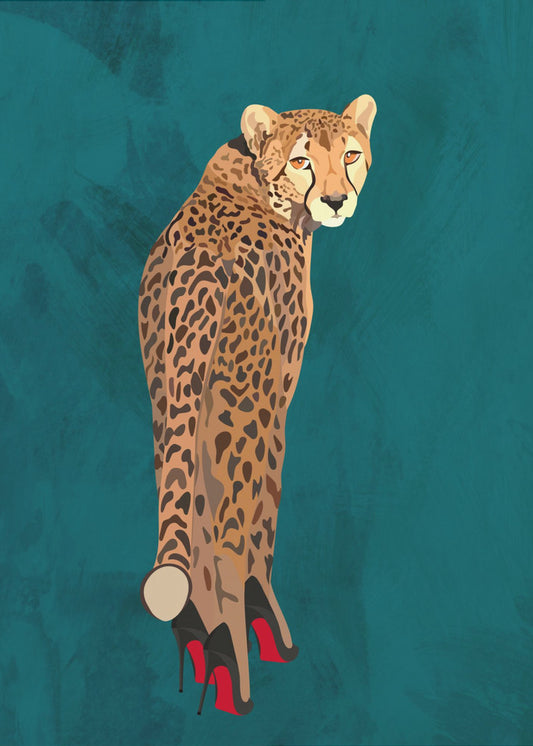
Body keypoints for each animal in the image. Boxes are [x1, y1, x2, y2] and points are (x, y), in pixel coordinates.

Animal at [138, 95, 377, 706]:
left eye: (350, 154)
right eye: (302, 162)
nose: (337, 200)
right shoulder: (276, 389)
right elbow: (265, 506)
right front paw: (259, 612)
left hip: (170, 397)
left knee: (189, 508)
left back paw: (200, 634)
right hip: (241, 406)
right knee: (228, 527)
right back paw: (235, 655)